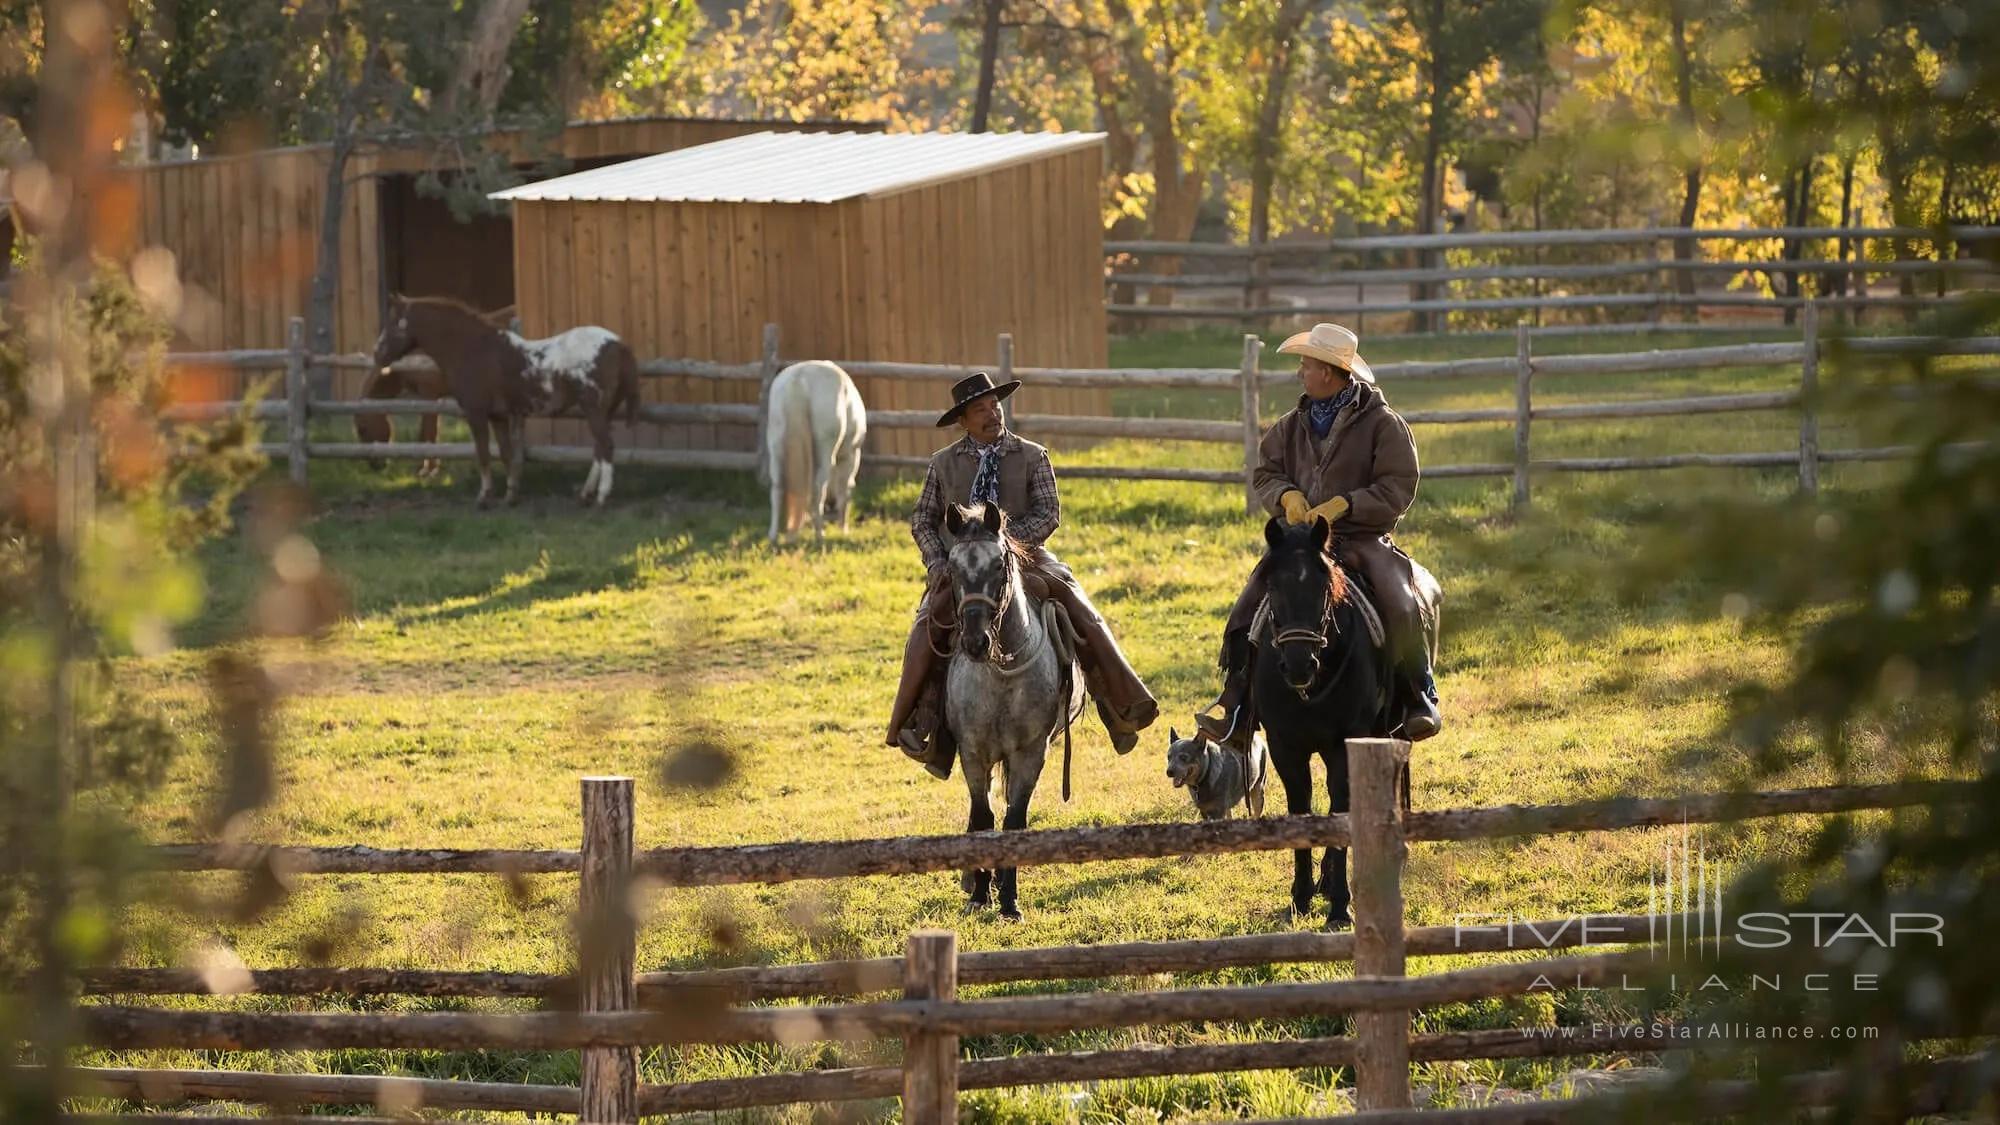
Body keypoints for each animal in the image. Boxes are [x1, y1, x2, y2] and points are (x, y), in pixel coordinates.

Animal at [374, 296, 640, 510]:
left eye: (392, 324)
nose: (378, 355)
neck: (473, 350)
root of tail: (618, 344)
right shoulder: (498, 416)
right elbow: (505, 454)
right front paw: (510, 497)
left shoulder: (476, 414)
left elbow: (483, 454)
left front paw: (484, 498)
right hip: (603, 411)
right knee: (599, 448)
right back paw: (585, 495)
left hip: (594, 409)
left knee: (606, 446)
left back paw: (601, 498)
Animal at [760, 354, 864, 540]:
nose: (831, 505)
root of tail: (799, 380)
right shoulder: (850, 455)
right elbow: (845, 489)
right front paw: (843, 528)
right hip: (826, 454)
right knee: (818, 489)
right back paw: (819, 533)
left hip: (776, 450)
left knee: (777, 488)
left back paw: (773, 535)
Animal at [944, 500, 1088, 920]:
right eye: (952, 567)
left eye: (998, 564)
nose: (976, 642)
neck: (1000, 673)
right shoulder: (973, 754)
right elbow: (983, 819)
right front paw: (979, 894)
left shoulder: (1030, 753)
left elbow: (1013, 822)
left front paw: (1008, 900)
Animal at [1240, 512, 1400, 924]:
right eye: (1272, 586)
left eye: (1324, 588)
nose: (1299, 666)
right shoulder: (1285, 747)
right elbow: (1301, 807)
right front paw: (1300, 896)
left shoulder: (1347, 742)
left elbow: (1341, 806)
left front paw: (1341, 906)